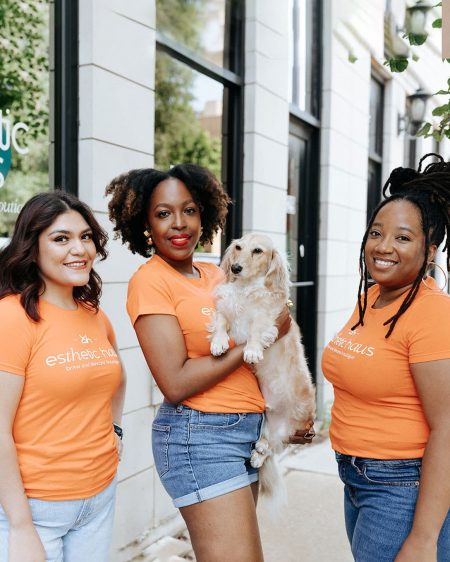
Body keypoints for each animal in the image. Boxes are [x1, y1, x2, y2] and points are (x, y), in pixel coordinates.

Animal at [211, 232, 316, 494]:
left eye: (257, 251)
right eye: (238, 247)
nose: (235, 268)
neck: (245, 289)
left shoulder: (267, 316)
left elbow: (257, 329)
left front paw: (251, 351)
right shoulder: (226, 309)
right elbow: (220, 322)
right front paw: (218, 343)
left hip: (288, 429)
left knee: (274, 447)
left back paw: (259, 454)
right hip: (267, 423)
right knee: (267, 445)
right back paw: (257, 454)